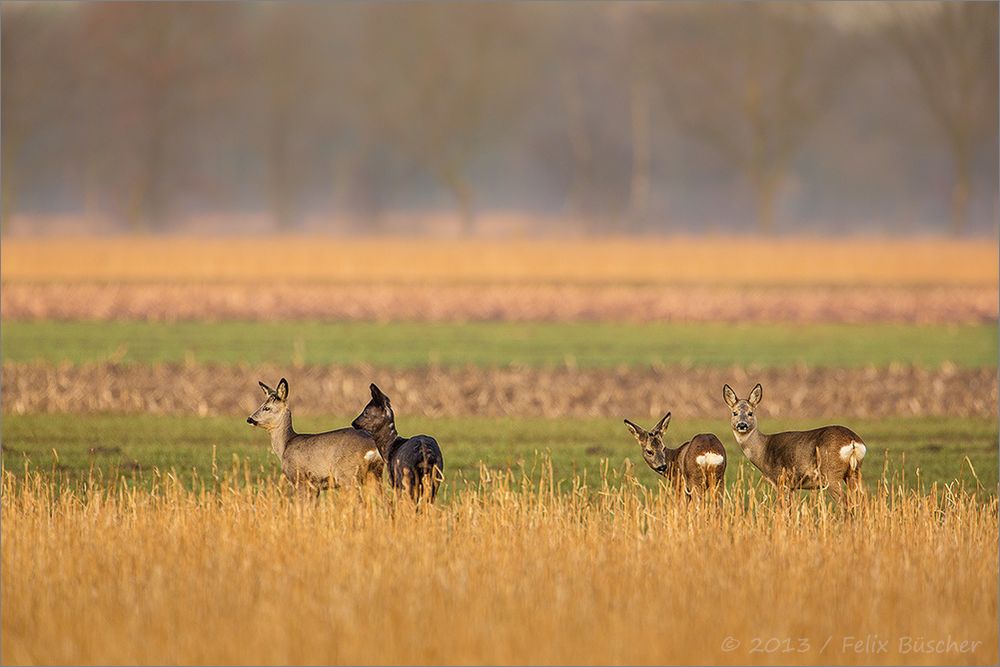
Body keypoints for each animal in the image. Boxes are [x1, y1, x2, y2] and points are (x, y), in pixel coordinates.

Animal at [244, 378, 380, 494]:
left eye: (267, 408)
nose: (249, 419)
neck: (286, 444)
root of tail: (372, 447)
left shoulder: (300, 479)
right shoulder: (314, 487)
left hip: (348, 475)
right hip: (375, 474)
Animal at [720, 380, 868, 500]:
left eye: (750, 413)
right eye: (734, 413)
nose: (742, 425)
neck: (763, 450)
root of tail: (853, 441)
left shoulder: (781, 480)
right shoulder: (792, 486)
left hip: (831, 474)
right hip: (854, 472)